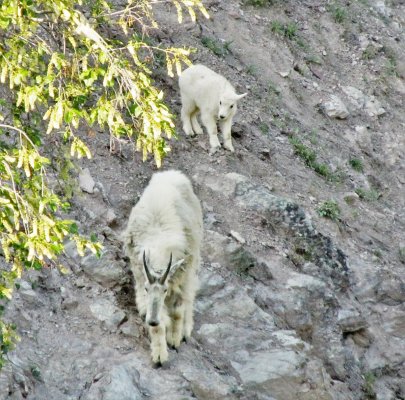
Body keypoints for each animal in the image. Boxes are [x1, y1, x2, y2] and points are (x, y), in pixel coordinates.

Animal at [120, 170, 202, 364]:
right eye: (146, 288)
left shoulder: (181, 274)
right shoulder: (141, 276)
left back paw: (185, 329)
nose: (152, 321)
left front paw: (175, 338)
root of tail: (171, 173)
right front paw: (159, 354)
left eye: (164, 290)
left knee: (190, 296)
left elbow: (179, 309)